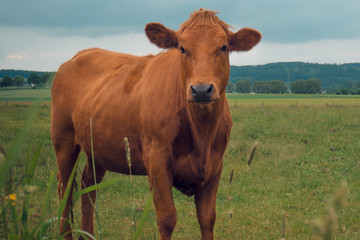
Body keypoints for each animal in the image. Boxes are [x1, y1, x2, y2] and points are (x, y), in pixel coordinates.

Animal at [50, 8, 260, 239]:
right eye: (182, 48)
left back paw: (87, 234)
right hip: (63, 138)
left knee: (88, 184)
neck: (201, 134)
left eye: (224, 47)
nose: (201, 89)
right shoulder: (157, 160)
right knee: (65, 187)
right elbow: (167, 218)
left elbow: (207, 218)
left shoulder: (215, 165)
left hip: (97, 147)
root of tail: (80, 54)